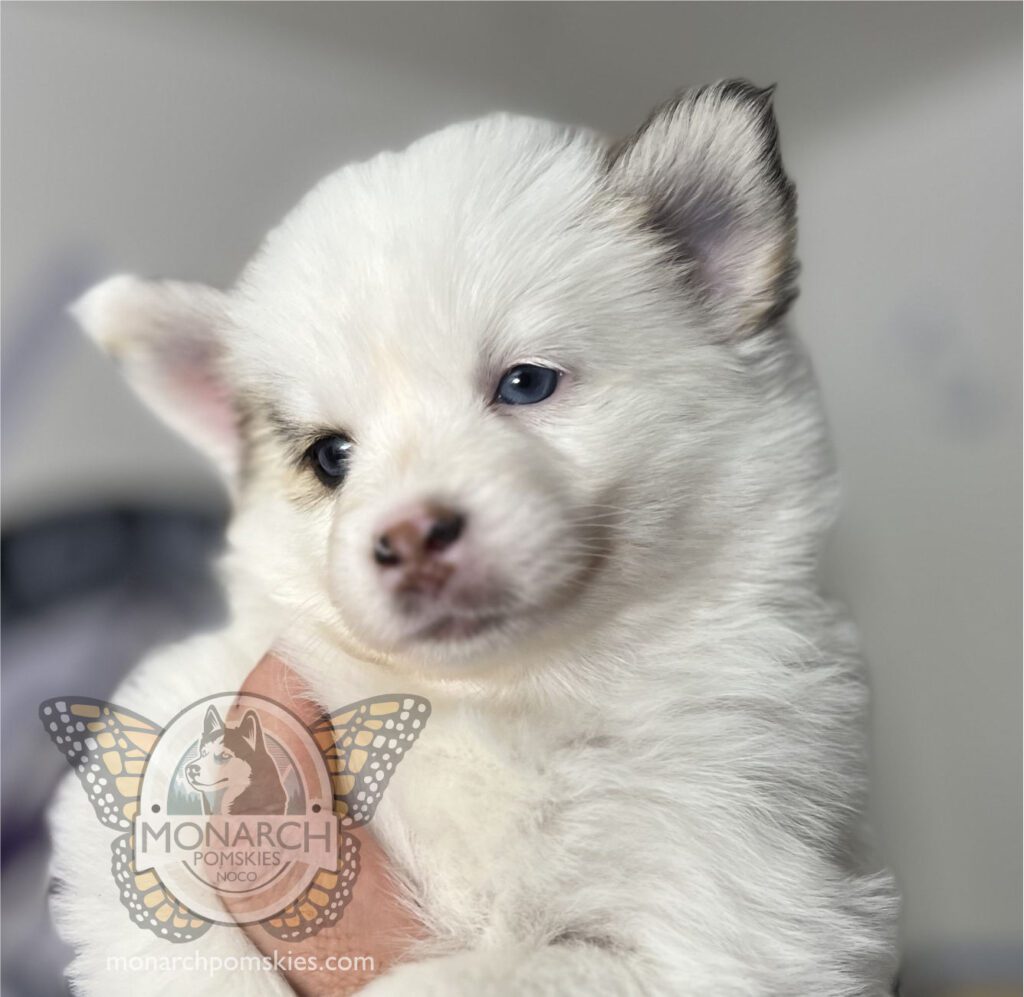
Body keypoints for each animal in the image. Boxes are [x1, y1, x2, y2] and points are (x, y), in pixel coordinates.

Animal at [48, 81, 897, 994]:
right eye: (330, 456)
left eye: (525, 383)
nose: (410, 535)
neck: (498, 693)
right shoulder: (172, 723)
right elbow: (176, 929)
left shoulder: (727, 917)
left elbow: (476, 974)